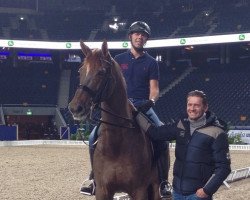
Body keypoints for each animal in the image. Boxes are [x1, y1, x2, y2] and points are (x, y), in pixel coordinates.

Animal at [67, 40, 167, 200]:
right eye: (80, 71)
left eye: (101, 72)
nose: (75, 108)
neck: (116, 145)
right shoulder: (103, 190)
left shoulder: (139, 190)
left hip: (155, 188)